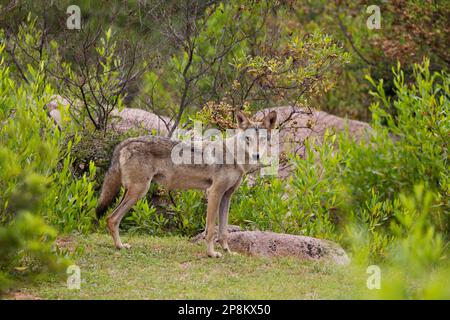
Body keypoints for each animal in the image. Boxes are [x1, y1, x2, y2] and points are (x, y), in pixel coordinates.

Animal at [96, 110, 276, 258]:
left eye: (262, 139)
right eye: (248, 139)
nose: (256, 155)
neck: (234, 157)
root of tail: (128, 140)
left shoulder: (226, 196)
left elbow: (223, 231)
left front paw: (228, 252)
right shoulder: (214, 193)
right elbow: (210, 230)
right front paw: (211, 254)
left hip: (133, 192)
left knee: (111, 218)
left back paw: (119, 246)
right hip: (139, 192)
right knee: (111, 218)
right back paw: (119, 246)